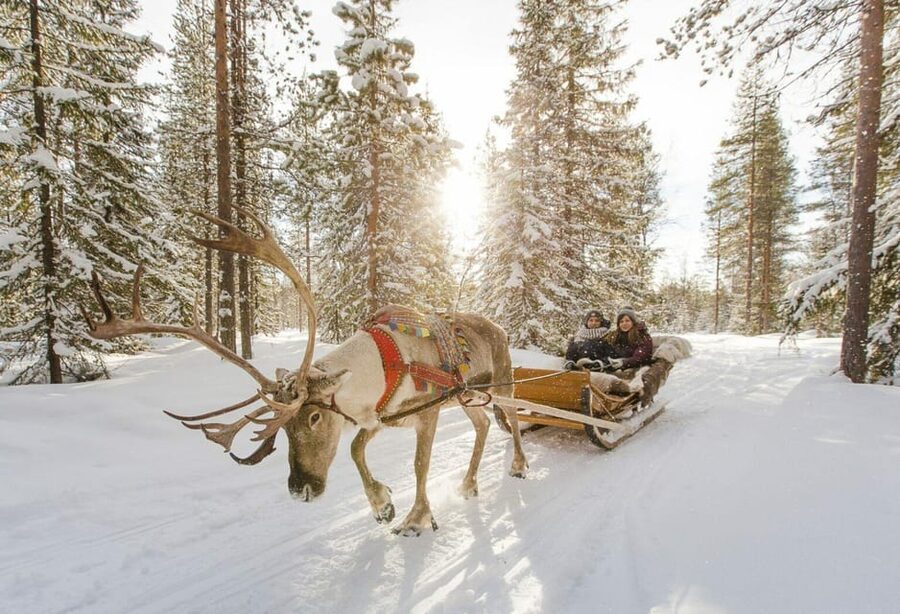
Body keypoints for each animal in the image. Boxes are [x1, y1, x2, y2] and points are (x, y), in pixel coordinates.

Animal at [84, 208, 528, 536]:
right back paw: (469, 483)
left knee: (514, 420)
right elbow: (354, 449)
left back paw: (519, 465)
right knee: (484, 426)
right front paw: (382, 503)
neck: (384, 365)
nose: (301, 491)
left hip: (503, 382)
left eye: (313, 416)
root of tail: (500, 326)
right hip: (470, 397)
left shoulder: (426, 411)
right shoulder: (379, 415)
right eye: (281, 429)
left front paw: (416, 518)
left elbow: (419, 465)